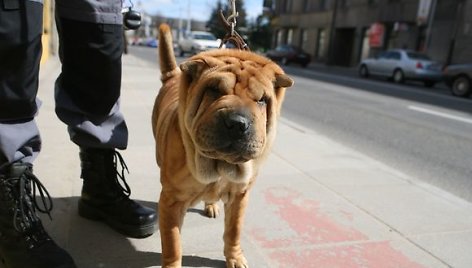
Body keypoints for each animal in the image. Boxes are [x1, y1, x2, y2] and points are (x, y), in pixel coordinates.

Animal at [153, 24, 294, 266]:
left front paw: (235, 257)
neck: (219, 165)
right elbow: (172, 242)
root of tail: (172, 77)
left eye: (262, 100)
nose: (237, 123)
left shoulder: (240, 196)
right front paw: (172, 263)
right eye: (214, 90)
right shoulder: (172, 200)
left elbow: (234, 231)